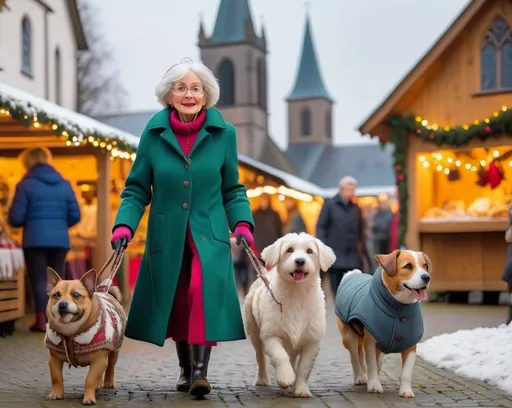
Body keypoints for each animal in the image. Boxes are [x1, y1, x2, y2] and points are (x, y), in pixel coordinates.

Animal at [45, 268, 126, 404]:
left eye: (76, 295)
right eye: (56, 295)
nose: (62, 304)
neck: (70, 333)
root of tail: (105, 292)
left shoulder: (99, 360)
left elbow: (90, 380)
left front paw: (89, 398)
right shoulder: (54, 359)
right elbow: (56, 377)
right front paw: (56, 393)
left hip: (114, 351)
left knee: (110, 366)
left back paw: (108, 382)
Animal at [244, 233, 336, 398]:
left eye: (309, 251)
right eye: (289, 250)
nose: (299, 261)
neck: (296, 294)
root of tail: (264, 274)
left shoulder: (312, 341)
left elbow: (304, 368)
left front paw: (301, 390)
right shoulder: (270, 335)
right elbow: (280, 355)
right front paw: (285, 377)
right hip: (254, 331)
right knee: (260, 357)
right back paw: (262, 379)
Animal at [336, 249, 432, 398]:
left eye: (425, 266)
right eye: (408, 266)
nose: (426, 277)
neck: (399, 306)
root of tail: (352, 275)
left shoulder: (410, 345)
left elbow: (406, 372)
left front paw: (406, 390)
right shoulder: (369, 342)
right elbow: (371, 364)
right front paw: (374, 385)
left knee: (372, 358)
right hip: (349, 336)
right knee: (355, 357)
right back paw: (360, 377)